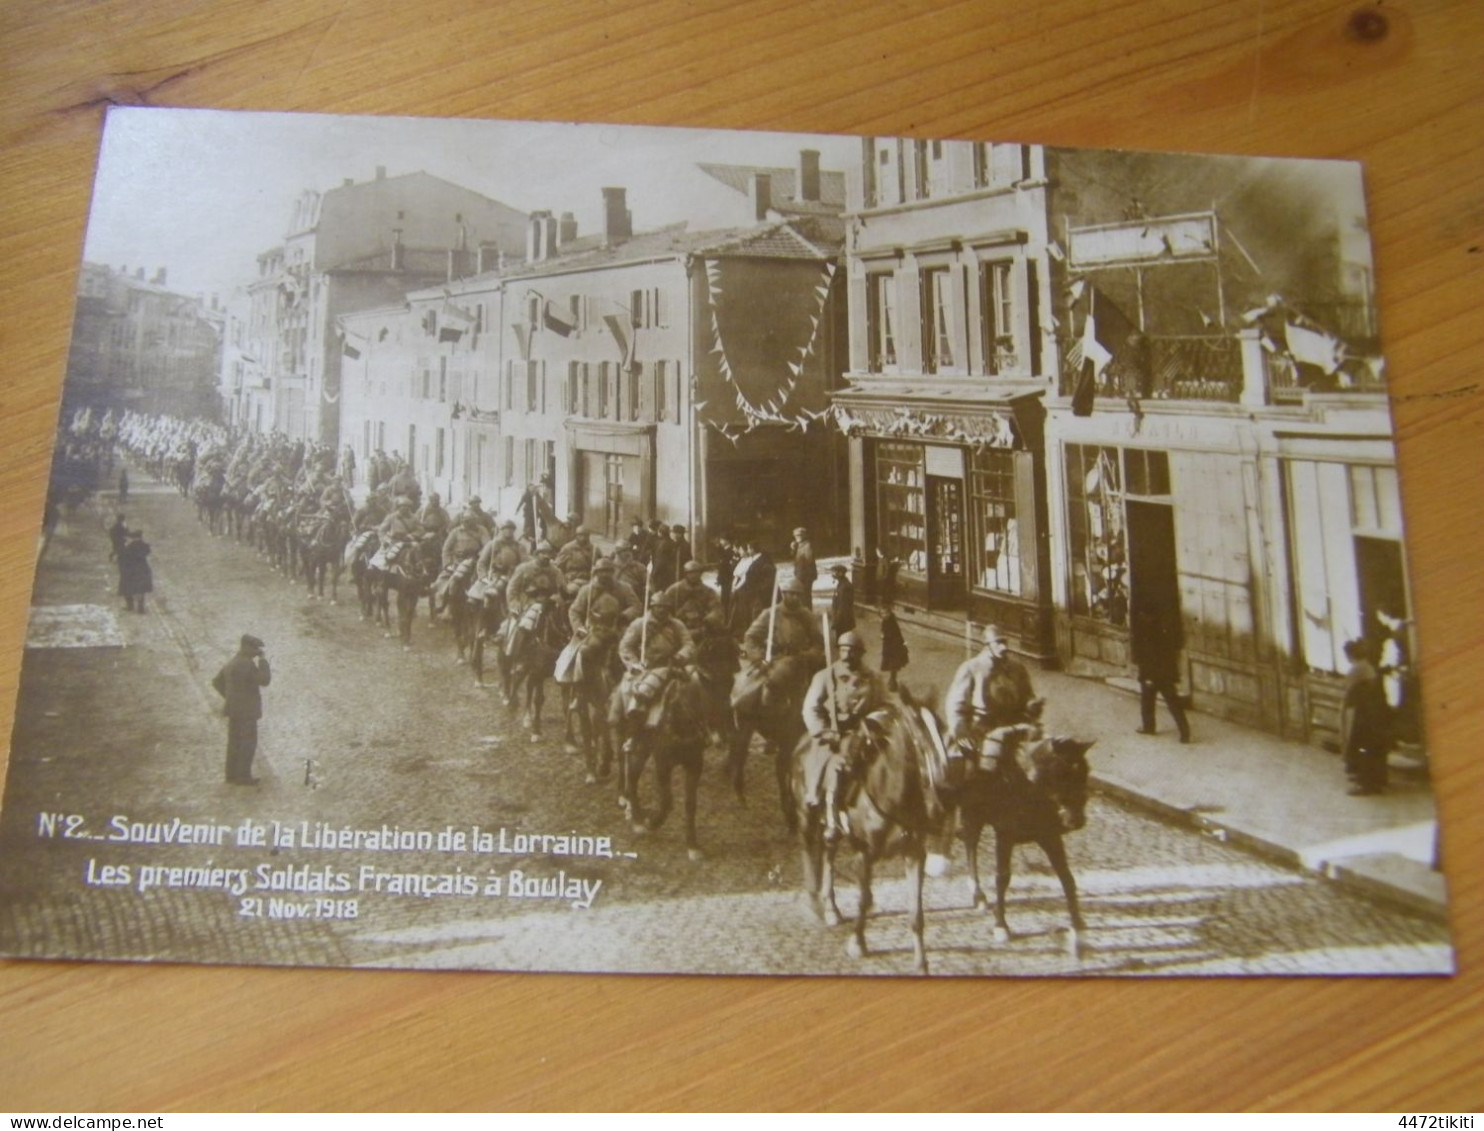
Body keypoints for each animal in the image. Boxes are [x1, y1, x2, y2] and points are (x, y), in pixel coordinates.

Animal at [789, 688, 949, 967]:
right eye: (919, 746)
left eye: (941, 731)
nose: (939, 807)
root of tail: (803, 743)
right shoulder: (864, 854)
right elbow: (862, 900)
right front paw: (858, 944)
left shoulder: (914, 853)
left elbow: (916, 911)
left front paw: (921, 962)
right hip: (805, 816)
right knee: (810, 851)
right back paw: (815, 905)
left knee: (829, 851)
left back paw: (831, 907)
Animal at [955, 727, 1098, 955]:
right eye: (1061, 772)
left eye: (1085, 772)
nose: (1076, 820)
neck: (1028, 786)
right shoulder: (1004, 835)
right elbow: (1002, 878)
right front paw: (1001, 926)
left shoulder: (1050, 836)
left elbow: (1067, 878)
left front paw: (1078, 930)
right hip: (972, 814)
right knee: (971, 845)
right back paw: (978, 895)